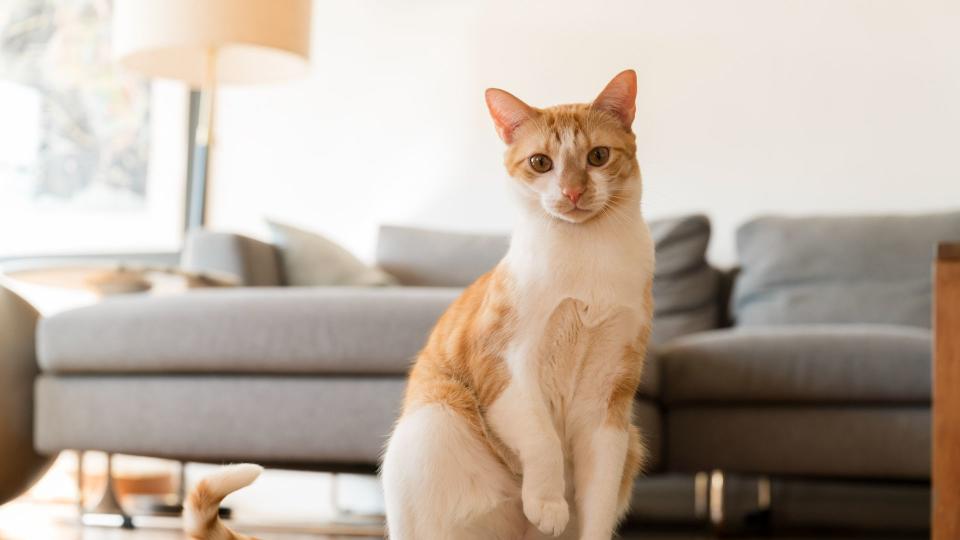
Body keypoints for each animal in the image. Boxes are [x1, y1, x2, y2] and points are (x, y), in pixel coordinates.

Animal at [378, 68, 656, 540]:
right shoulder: (504, 366)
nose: (572, 191)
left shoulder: (609, 403)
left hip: (633, 442)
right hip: (437, 417)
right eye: (540, 163)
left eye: (598, 156)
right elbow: (543, 439)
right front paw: (547, 504)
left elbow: (597, 503)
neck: (587, 256)